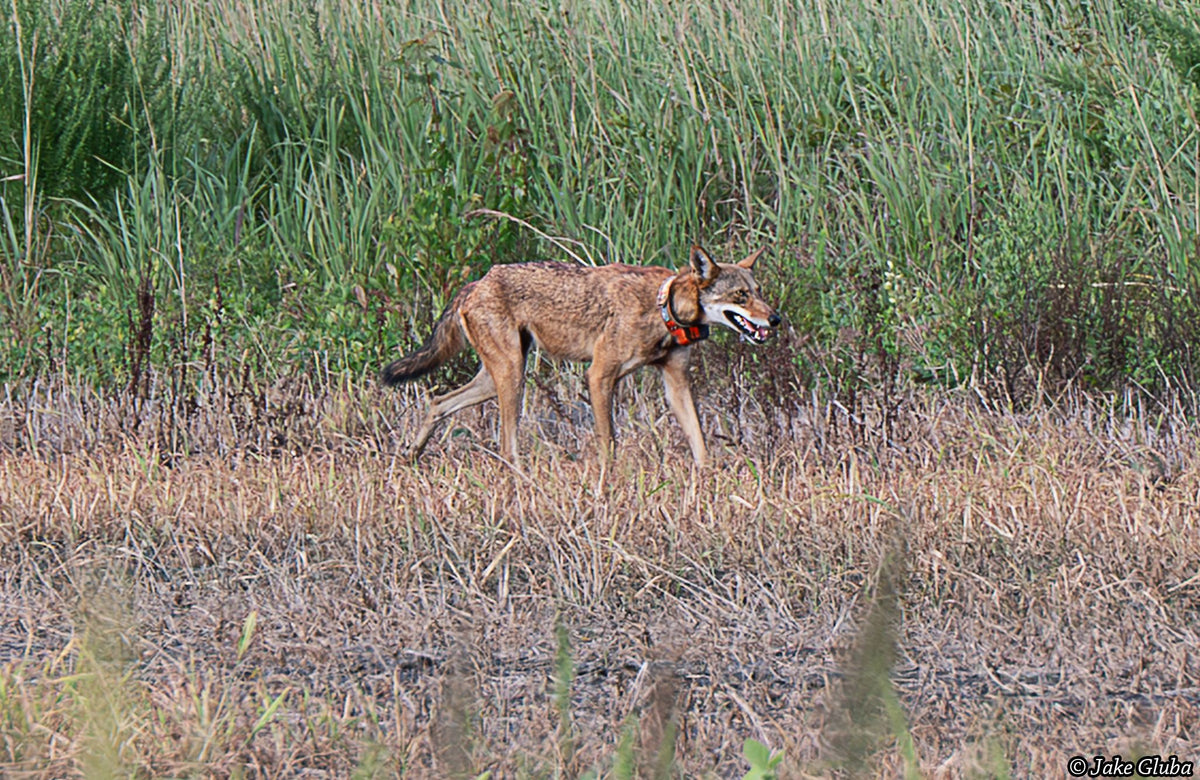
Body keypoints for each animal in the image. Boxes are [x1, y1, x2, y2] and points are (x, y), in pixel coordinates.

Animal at [380, 245, 781, 466]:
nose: (776, 319)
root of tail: (476, 282)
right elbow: (609, 445)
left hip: (496, 380)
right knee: (506, 446)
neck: (663, 307)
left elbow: (701, 447)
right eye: (741, 295)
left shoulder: (677, 384)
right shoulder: (599, 376)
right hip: (511, 379)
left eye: (759, 291)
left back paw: (411, 456)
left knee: (437, 402)